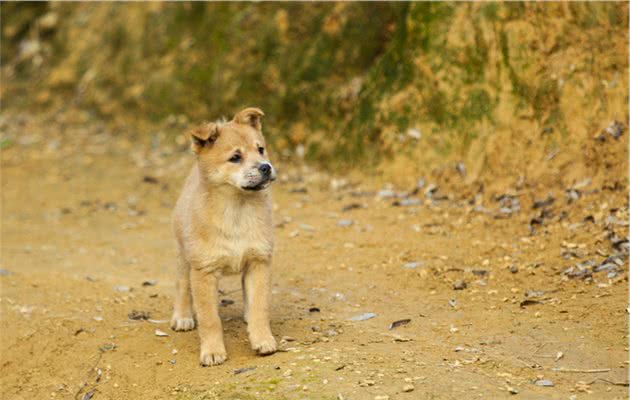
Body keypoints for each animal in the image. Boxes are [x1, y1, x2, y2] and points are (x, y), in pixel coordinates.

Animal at [170, 108, 276, 368]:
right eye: (235, 157)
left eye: (261, 149)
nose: (266, 167)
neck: (237, 211)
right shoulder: (203, 272)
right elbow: (210, 319)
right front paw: (212, 351)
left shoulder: (259, 262)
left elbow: (260, 306)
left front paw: (262, 339)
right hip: (182, 257)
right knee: (181, 287)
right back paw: (183, 317)